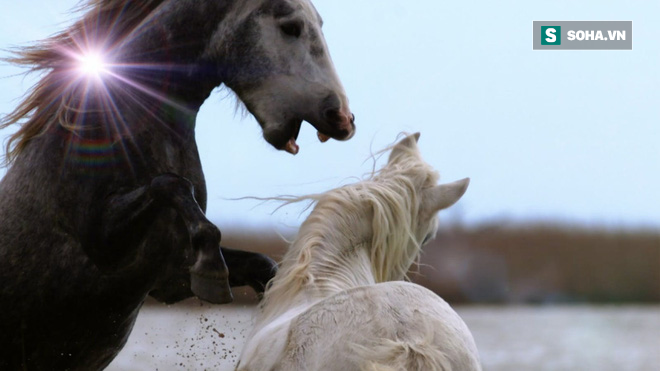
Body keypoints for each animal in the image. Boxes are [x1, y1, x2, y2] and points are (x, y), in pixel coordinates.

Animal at [0, 0, 356, 370]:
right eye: (290, 27)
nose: (342, 118)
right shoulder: (101, 242)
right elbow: (171, 184)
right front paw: (212, 268)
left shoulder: (169, 278)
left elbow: (262, 268)